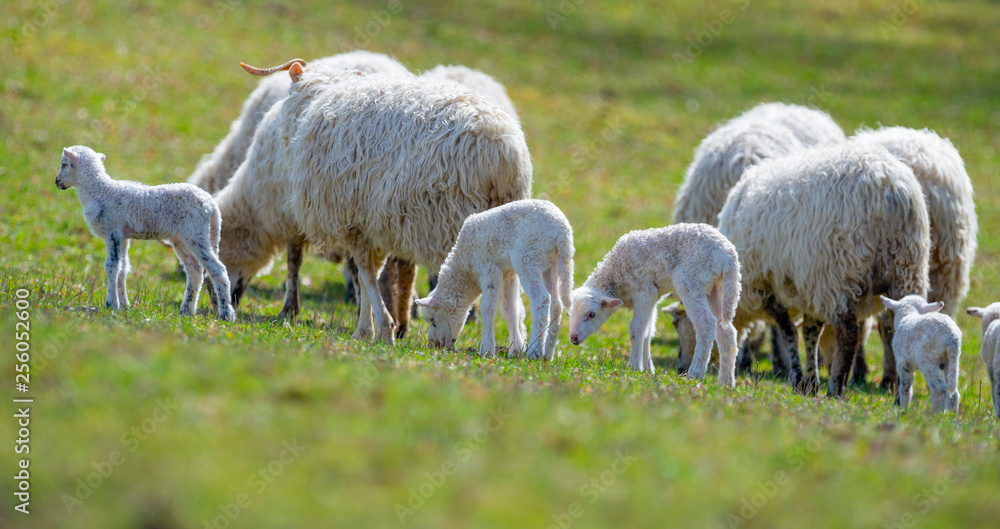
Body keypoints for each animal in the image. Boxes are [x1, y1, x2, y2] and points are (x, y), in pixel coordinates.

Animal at [56, 145, 235, 321]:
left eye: (64, 164)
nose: (57, 182)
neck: (99, 190)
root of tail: (212, 204)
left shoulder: (112, 231)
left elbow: (111, 266)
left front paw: (110, 304)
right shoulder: (123, 236)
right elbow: (123, 268)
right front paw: (124, 306)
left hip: (196, 234)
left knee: (217, 269)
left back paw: (226, 314)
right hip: (181, 239)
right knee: (195, 271)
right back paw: (186, 311)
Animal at [232, 58, 531, 343]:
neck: (318, 97)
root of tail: (506, 152)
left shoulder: (350, 220)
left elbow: (365, 276)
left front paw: (379, 329)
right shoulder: (372, 225)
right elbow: (370, 277)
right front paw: (367, 329)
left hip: (456, 222)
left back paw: (445, 331)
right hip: (500, 225)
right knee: (510, 289)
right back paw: (517, 343)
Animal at [414, 199, 573, 360]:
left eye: (433, 321)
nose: (435, 344)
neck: (465, 265)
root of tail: (562, 232)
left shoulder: (488, 269)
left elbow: (488, 308)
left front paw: (487, 350)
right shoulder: (509, 274)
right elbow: (510, 309)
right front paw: (516, 349)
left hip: (527, 258)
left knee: (541, 299)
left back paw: (535, 351)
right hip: (551, 264)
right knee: (556, 304)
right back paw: (547, 353)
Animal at [567, 224, 741, 386]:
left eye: (591, 314)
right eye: (568, 315)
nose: (573, 338)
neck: (616, 274)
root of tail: (728, 253)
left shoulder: (644, 290)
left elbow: (636, 328)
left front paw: (633, 367)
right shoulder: (653, 296)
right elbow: (647, 331)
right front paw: (648, 369)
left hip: (691, 280)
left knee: (706, 323)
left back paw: (694, 374)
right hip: (716, 286)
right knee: (726, 329)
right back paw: (726, 382)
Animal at [717, 142, 930, 397]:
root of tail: (888, 186)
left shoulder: (768, 288)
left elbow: (789, 332)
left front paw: (799, 378)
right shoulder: (810, 292)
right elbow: (810, 333)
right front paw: (810, 382)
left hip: (840, 273)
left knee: (849, 335)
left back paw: (836, 389)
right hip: (906, 270)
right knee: (895, 329)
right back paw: (895, 388)